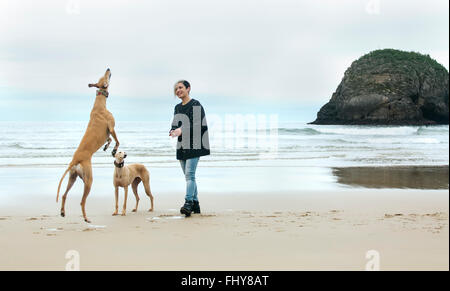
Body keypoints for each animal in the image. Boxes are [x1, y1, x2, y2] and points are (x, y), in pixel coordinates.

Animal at [56, 69, 119, 224]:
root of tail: (75, 160)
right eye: (104, 76)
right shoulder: (112, 127)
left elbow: (109, 139)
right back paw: (86, 218)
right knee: (82, 201)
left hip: (72, 177)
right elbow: (117, 140)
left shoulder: (108, 133)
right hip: (89, 180)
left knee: (64, 195)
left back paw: (63, 212)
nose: (108, 68)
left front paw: (107, 147)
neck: (100, 104)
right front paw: (114, 149)